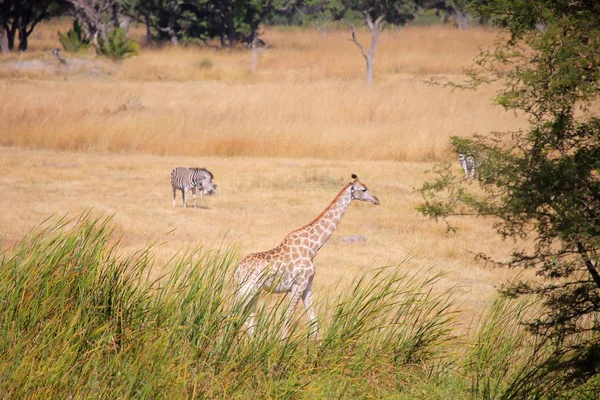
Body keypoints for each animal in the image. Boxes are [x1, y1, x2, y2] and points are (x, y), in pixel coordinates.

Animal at [234, 173, 380, 340]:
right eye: (363, 189)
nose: (377, 200)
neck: (312, 247)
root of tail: (238, 270)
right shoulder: (298, 285)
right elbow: (287, 320)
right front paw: (281, 344)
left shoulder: (307, 285)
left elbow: (313, 322)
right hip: (247, 288)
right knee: (235, 313)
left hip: (255, 290)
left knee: (248, 318)